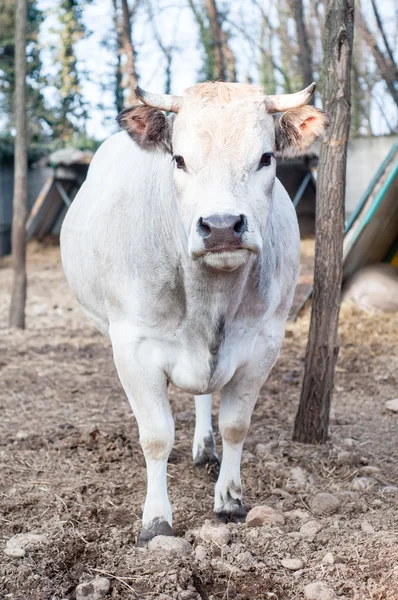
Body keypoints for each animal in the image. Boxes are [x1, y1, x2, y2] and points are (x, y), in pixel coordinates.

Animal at [61, 81, 330, 544]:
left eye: (266, 157)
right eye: (179, 159)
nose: (221, 226)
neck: (211, 299)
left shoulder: (264, 344)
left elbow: (236, 425)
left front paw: (230, 499)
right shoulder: (132, 347)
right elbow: (155, 435)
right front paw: (155, 520)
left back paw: (205, 449)